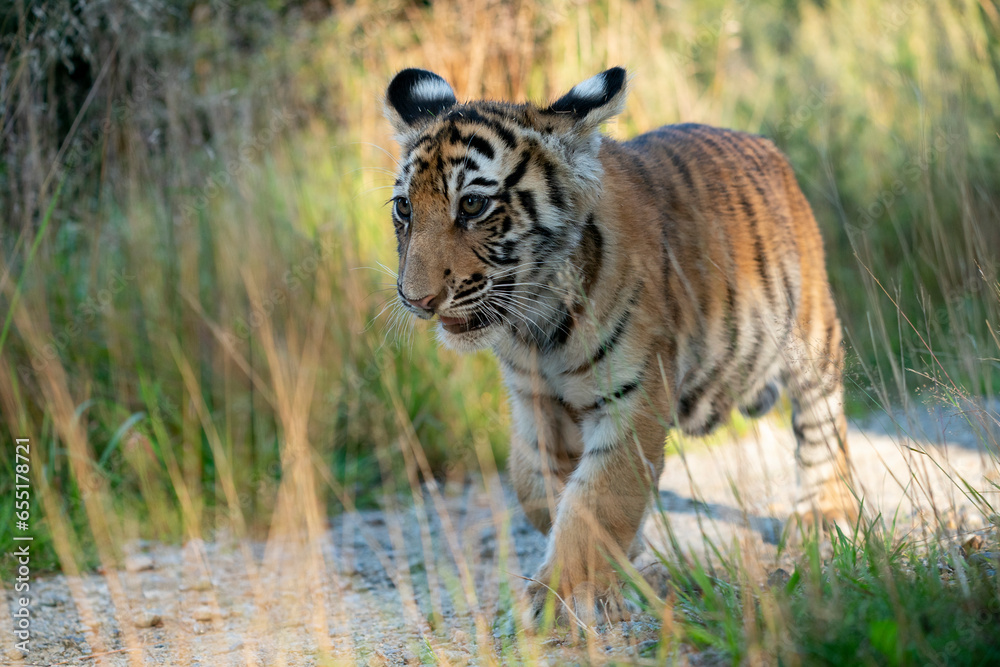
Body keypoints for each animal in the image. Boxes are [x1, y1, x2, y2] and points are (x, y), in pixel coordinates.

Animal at [382, 66, 857, 624]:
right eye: (404, 208)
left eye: (473, 204)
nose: (417, 298)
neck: (536, 324)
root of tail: (763, 144)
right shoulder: (534, 402)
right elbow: (537, 487)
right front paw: (628, 565)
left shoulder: (634, 394)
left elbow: (600, 496)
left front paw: (569, 598)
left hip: (811, 332)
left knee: (823, 422)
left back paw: (825, 514)